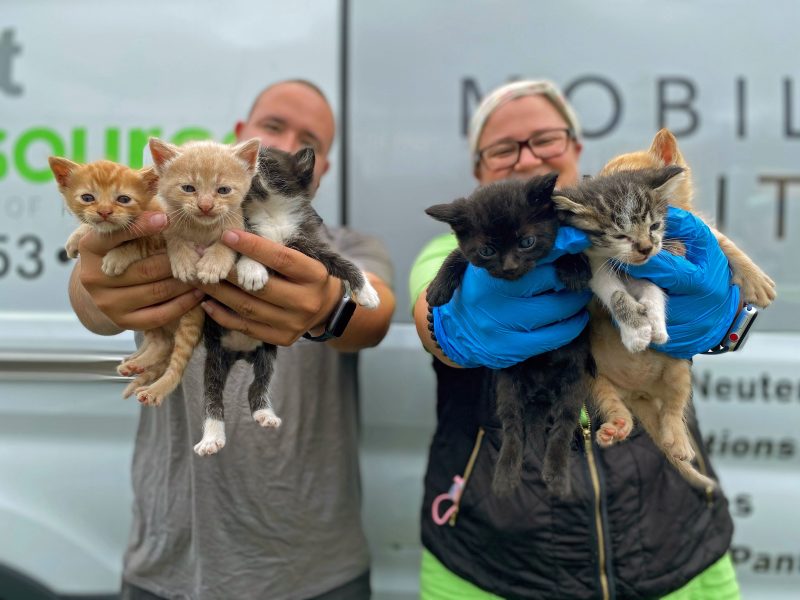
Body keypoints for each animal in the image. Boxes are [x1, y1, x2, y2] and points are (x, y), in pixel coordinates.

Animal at [126, 137, 260, 408]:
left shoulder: (237, 225)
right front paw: (184, 260)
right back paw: (136, 365)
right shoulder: (166, 221)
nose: (205, 206)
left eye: (223, 190)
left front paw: (212, 265)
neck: (201, 229)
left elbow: (227, 240)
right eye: (188, 188)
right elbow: (174, 236)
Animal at [195, 148, 380, 458]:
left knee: (258, 384)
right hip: (216, 355)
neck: (271, 211)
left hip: (267, 353)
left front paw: (366, 290)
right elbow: (242, 247)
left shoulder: (307, 244)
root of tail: (240, 352)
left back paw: (264, 414)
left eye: (266, 159)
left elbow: (342, 261)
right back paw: (211, 437)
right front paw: (253, 270)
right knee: (212, 395)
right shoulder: (236, 231)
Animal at [424, 172, 592, 496]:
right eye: (487, 251)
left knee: (563, 428)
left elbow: (568, 252)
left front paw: (574, 268)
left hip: (574, 382)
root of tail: (541, 391)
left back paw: (556, 477)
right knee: (514, 429)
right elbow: (457, 254)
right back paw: (505, 476)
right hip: (508, 386)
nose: (510, 266)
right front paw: (437, 289)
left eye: (526, 242)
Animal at [588, 130, 776, 488]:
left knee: (672, 411)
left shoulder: (696, 226)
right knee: (614, 406)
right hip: (594, 380)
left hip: (679, 371)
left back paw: (674, 439)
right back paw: (620, 428)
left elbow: (719, 239)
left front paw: (756, 280)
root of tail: (637, 391)